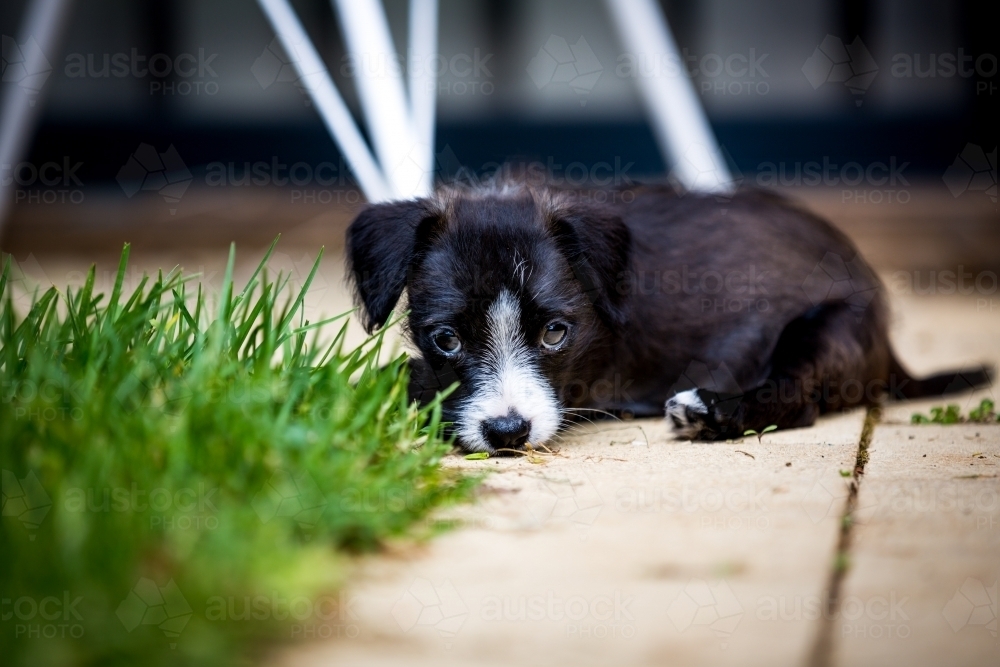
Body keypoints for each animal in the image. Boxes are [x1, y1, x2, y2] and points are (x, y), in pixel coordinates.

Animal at [346, 183, 992, 454]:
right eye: (447, 338)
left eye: (555, 332)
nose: (507, 434)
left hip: (829, 329)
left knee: (798, 397)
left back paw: (710, 412)